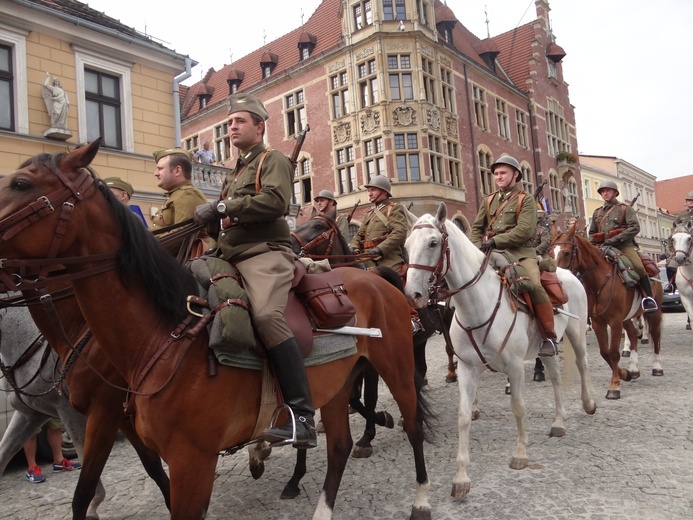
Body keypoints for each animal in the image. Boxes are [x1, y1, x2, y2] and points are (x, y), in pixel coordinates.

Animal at [406, 202, 596, 496]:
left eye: (433, 242)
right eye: (406, 246)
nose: (412, 294)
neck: (477, 305)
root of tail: (567, 274)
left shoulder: (515, 367)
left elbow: (518, 406)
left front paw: (520, 453)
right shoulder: (468, 368)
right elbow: (463, 416)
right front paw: (461, 476)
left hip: (575, 333)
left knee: (583, 364)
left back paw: (588, 403)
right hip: (544, 349)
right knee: (554, 378)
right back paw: (558, 422)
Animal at [552, 223, 660, 398]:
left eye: (567, 252)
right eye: (550, 251)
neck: (600, 282)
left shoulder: (615, 322)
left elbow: (614, 352)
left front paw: (614, 386)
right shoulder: (598, 322)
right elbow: (605, 352)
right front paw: (624, 374)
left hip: (653, 312)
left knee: (655, 336)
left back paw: (657, 367)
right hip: (626, 317)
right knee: (632, 334)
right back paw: (634, 368)